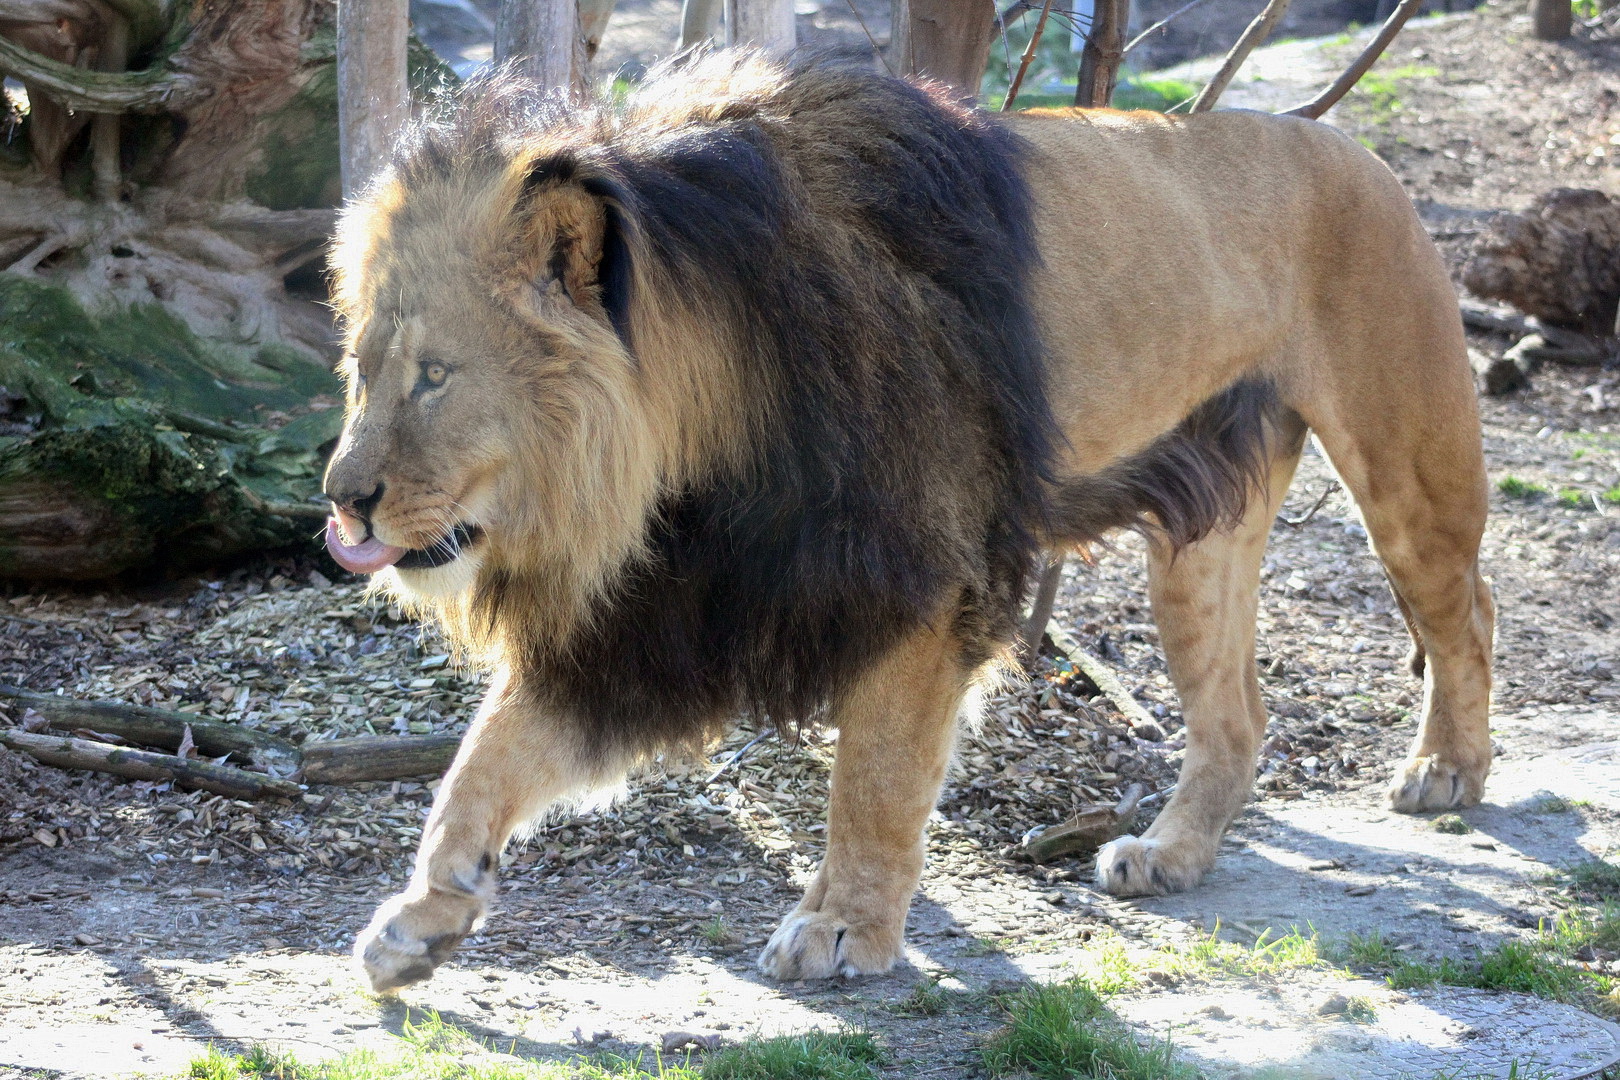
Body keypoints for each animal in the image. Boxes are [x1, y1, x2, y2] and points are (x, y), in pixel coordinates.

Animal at [322, 55, 1496, 990]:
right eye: (364, 369)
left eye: (435, 376)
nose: (341, 500)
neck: (690, 452)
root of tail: (1343, 138)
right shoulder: (662, 611)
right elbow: (483, 761)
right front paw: (422, 920)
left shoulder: (923, 581)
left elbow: (876, 776)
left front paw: (844, 926)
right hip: (1199, 546)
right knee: (1240, 716)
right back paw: (1168, 854)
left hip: (1406, 464)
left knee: (1466, 612)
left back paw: (1447, 771)